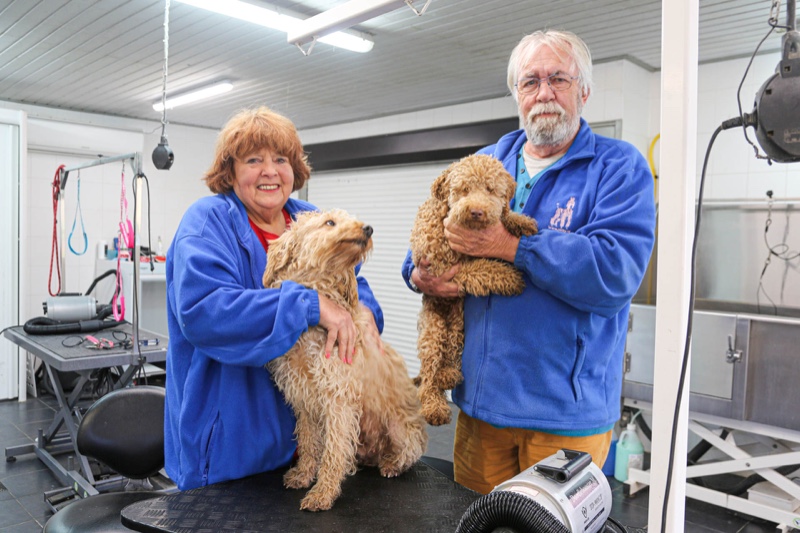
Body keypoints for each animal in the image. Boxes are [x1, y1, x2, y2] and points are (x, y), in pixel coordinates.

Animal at [264, 208, 428, 512]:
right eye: (329, 222)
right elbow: (308, 441)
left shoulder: (338, 398)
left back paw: (392, 464)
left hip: (398, 426)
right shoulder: (304, 398)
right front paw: (304, 474)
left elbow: (333, 450)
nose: (368, 228)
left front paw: (323, 492)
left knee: (412, 450)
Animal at [412, 153, 536, 424]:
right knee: (428, 377)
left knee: (449, 353)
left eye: (490, 189)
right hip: (433, 328)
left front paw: (520, 221)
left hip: (458, 322)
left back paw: (449, 374)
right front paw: (509, 277)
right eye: (464, 189)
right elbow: (480, 267)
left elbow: (502, 214)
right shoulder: (444, 266)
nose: (477, 212)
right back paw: (435, 406)